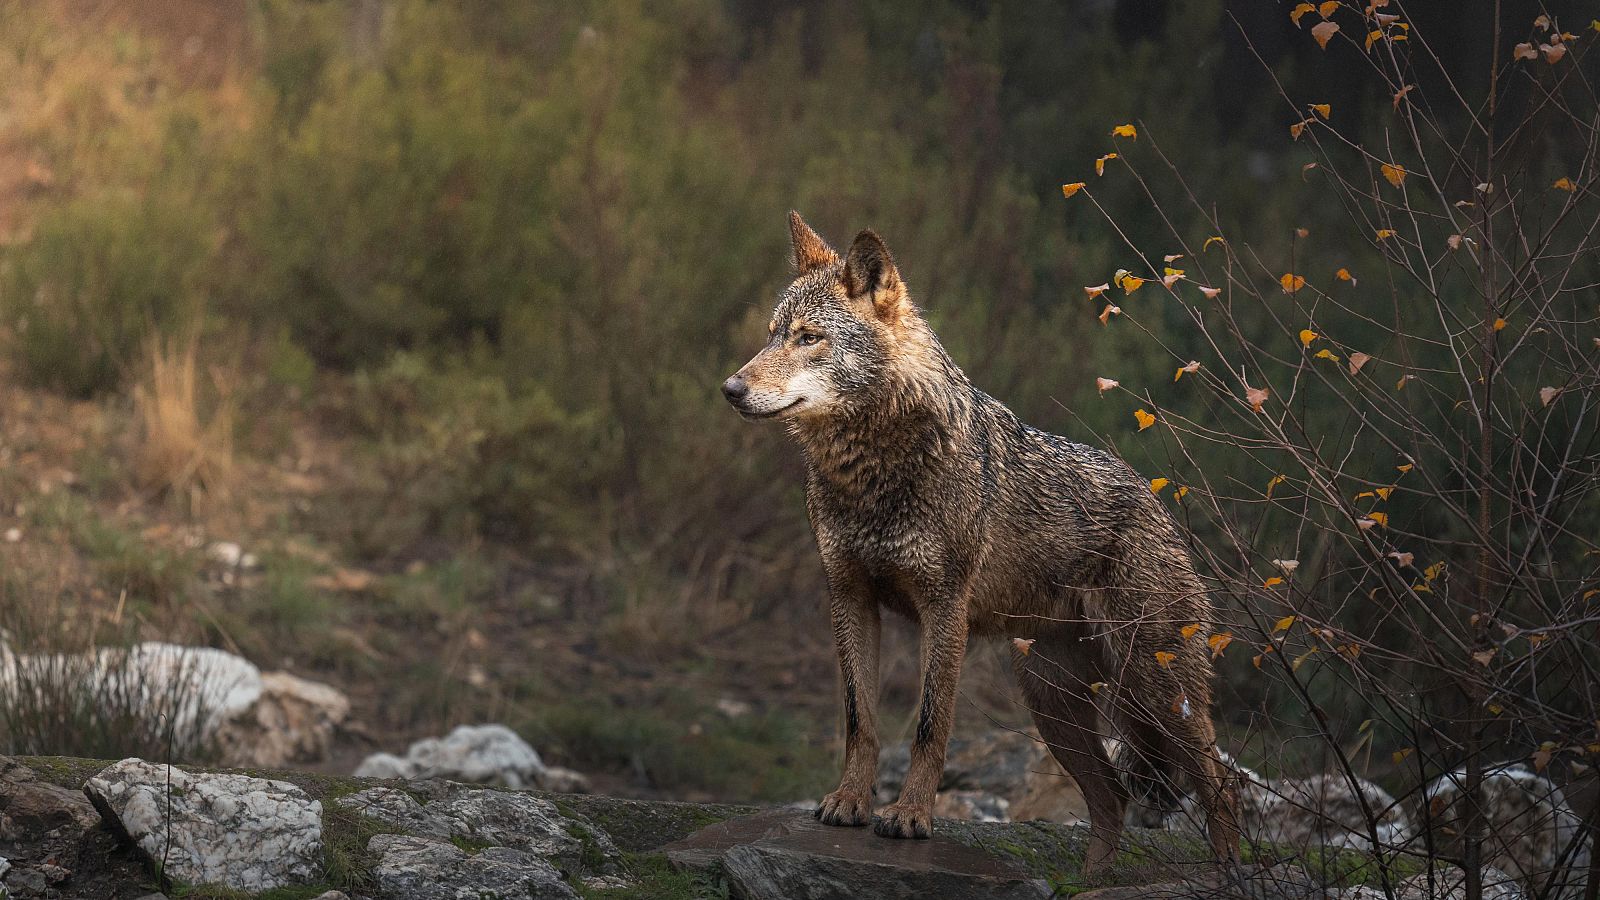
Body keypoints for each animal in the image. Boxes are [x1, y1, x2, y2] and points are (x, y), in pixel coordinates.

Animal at [723, 209, 1235, 871]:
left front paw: (911, 816)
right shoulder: (849, 598)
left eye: (810, 337)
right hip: (1055, 703)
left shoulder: (944, 607)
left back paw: (1230, 874)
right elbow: (860, 720)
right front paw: (849, 802)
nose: (731, 388)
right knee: (1113, 799)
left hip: (1155, 687)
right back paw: (1092, 882)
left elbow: (929, 726)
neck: (871, 470)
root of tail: (1159, 504)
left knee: (1219, 783)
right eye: (771, 335)